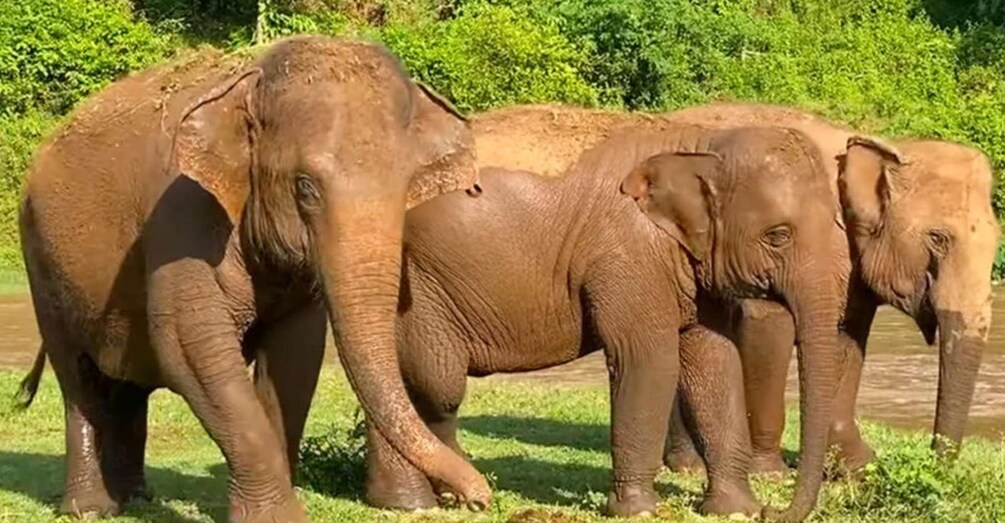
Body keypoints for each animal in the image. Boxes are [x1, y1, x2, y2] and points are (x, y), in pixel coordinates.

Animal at [15, 36, 490, 522]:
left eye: (406, 185)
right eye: (305, 187)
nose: (478, 497)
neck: (250, 83)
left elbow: (295, 355)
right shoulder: (180, 212)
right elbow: (191, 346)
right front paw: (280, 515)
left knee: (127, 385)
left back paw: (134, 499)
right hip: (41, 262)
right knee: (80, 379)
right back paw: (90, 509)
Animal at [376, 123, 844, 520]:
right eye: (778, 236)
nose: (773, 511)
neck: (697, 142)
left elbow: (715, 362)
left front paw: (734, 510)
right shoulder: (628, 257)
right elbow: (649, 362)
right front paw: (639, 512)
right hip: (415, 288)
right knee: (436, 384)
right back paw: (418, 501)